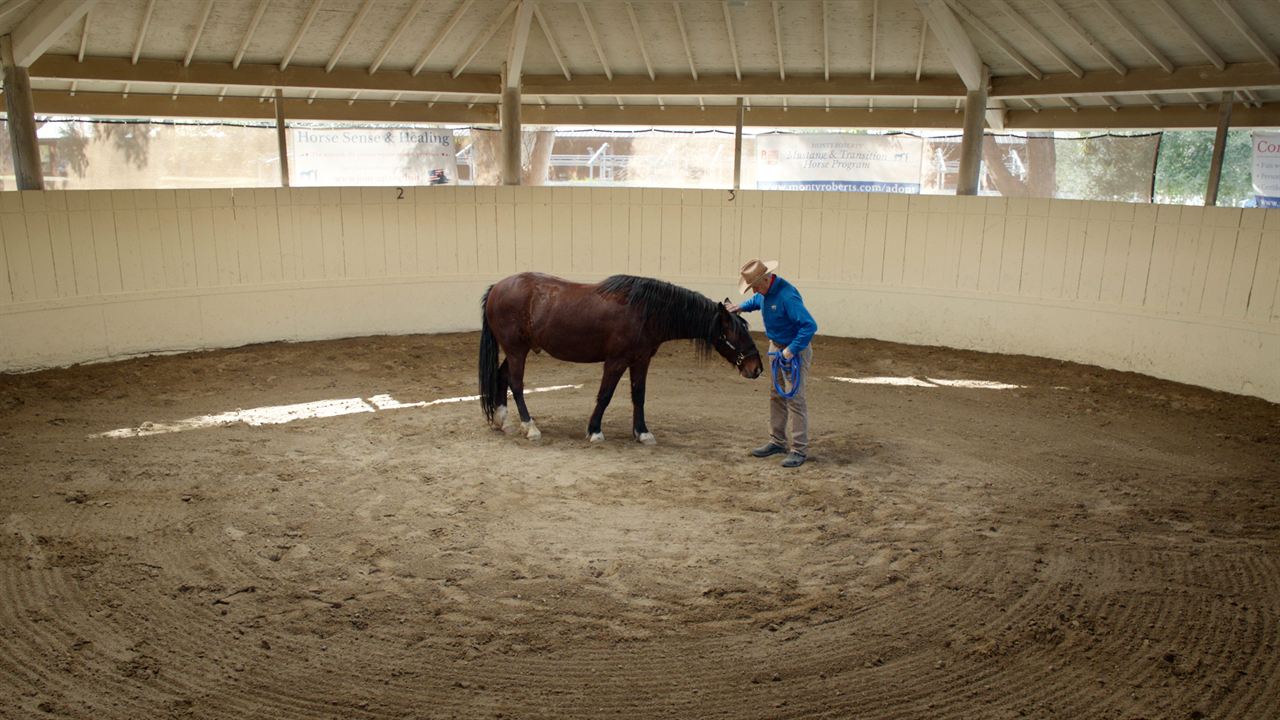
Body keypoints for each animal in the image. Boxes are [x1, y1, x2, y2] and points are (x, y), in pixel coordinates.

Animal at [481, 272, 757, 443]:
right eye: (736, 334)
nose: (756, 368)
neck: (645, 311)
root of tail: (497, 287)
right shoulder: (616, 361)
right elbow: (605, 395)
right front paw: (594, 430)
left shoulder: (641, 360)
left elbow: (639, 395)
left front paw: (642, 432)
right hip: (517, 350)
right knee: (516, 384)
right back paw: (530, 427)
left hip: (518, 349)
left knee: (502, 376)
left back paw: (503, 421)